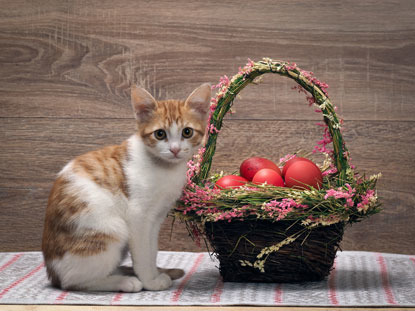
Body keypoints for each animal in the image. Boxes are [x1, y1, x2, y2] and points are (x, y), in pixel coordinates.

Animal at [41, 83, 211, 292]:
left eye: (187, 132)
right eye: (159, 134)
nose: (175, 149)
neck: (165, 169)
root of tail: (52, 270)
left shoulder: (155, 218)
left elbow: (151, 250)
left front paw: (154, 272)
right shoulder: (138, 216)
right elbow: (142, 253)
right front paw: (149, 281)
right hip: (113, 228)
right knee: (73, 281)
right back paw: (124, 281)